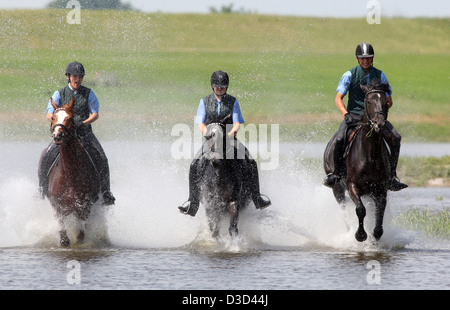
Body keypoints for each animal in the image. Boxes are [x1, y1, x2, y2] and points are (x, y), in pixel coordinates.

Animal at [44, 97, 100, 247]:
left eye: (70, 118)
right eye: (53, 117)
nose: (58, 135)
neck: (71, 174)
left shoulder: (85, 207)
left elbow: (81, 236)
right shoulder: (57, 207)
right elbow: (64, 238)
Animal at [326, 81, 392, 242]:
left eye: (386, 102)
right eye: (368, 101)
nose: (379, 123)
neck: (370, 155)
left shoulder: (380, 189)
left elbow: (380, 209)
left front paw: (376, 234)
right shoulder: (352, 185)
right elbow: (360, 210)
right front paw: (360, 235)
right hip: (337, 189)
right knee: (343, 210)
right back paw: (349, 231)